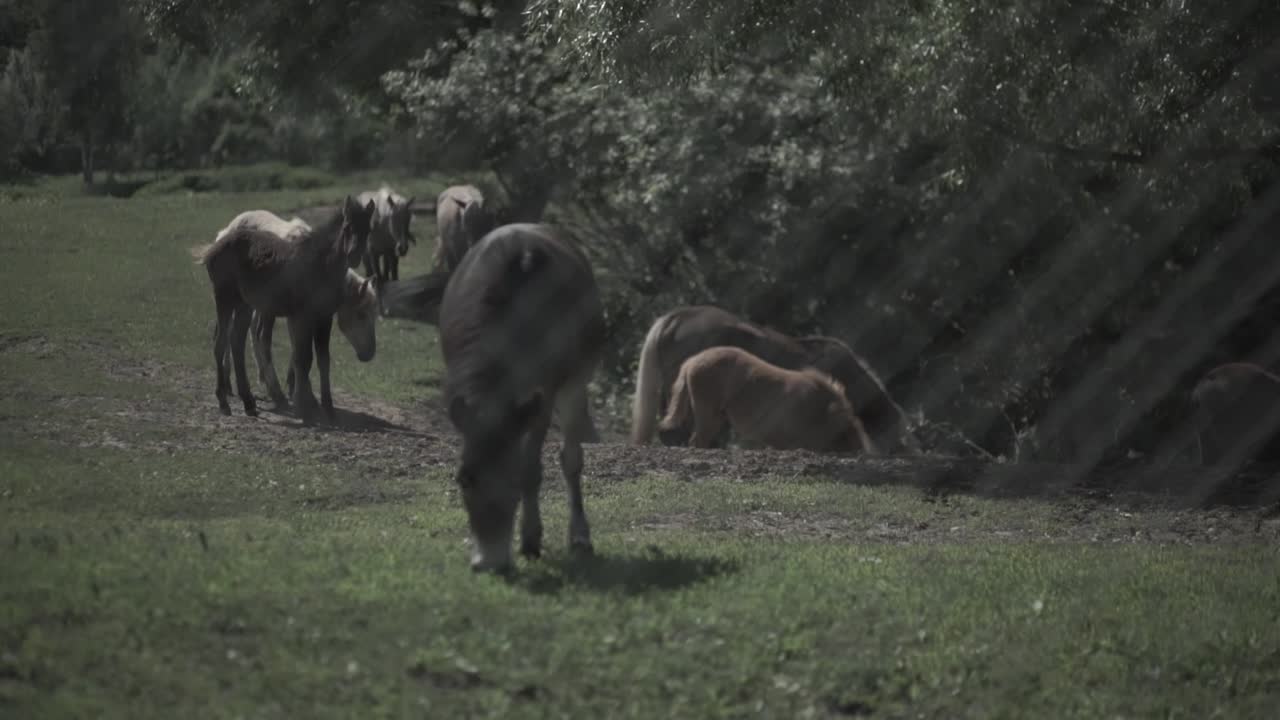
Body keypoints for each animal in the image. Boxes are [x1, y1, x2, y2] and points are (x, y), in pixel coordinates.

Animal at [191, 197, 376, 425]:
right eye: (348, 227)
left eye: (368, 230)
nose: (353, 256)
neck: (320, 265)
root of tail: (217, 244)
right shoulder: (301, 317)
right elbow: (302, 359)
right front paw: (304, 408)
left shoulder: (323, 319)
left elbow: (322, 360)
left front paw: (328, 410)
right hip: (224, 299)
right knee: (221, 342)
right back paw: (225, 401)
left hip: (244, 305)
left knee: (236, 342)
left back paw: (248, 402)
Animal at [438, 222, 605, 573]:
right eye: (463, 479)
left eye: (511, 484)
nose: (488, 562)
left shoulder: (543, 390)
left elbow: (531, 467)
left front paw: (530, 541)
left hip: (578, 375)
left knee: (571, 455)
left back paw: (580, 537)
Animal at [658, 346, 877, 454]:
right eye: (845, 431)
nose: (862, 450)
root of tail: (690, 362)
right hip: (705, 406)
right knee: (697, 439)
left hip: (716, 413)